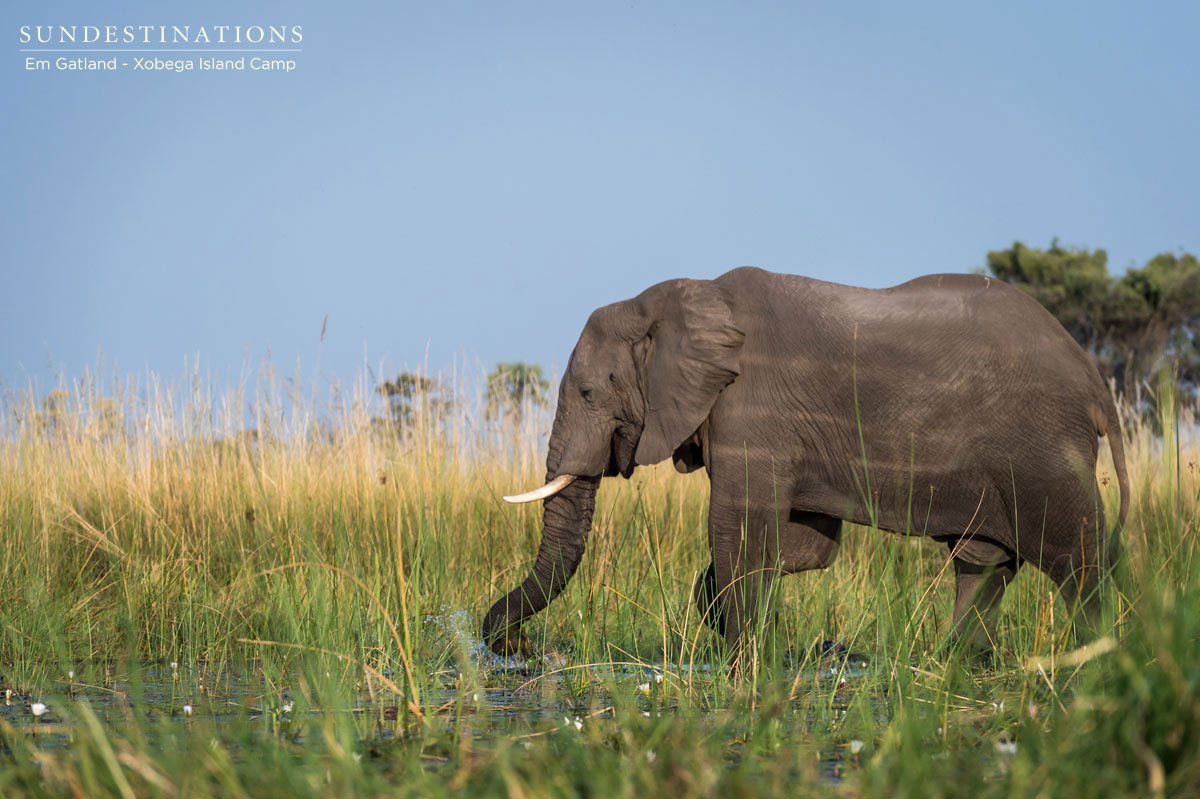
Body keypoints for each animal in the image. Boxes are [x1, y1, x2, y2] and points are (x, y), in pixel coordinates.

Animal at [482, 267, 1129, 660]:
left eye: (589, 392)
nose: (515, 647)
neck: (680, 298)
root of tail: (1095, 382)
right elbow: (803, 548)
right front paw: (728, 619)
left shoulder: (752, 411)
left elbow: (738, 531)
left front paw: (738, 660)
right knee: (983, 566)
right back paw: (957, 666)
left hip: (1044, 456)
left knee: (1080, 563)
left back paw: (1097, 661)